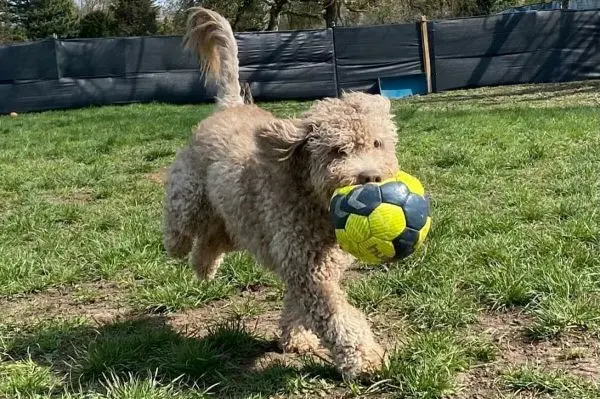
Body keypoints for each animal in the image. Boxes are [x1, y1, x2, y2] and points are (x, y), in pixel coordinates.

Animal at [162, 7, 400, 380]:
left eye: (377, 144)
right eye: (337, 151)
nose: (371, 177)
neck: (311, 196)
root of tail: (229, 106)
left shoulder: (309, 264)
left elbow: (296, 303)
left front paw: (295, 338)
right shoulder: (307, 266)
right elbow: (337, 316)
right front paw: (364, 358)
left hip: (236, 219)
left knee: (213, 239)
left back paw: (203, 267)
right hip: (191, 195)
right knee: (181, 221)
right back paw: (178, 246)